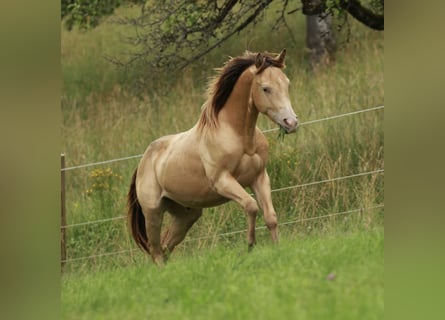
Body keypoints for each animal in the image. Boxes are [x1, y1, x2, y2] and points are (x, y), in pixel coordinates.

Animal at [126, 49, 296, 264]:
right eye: (266, 88)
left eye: (287, 83)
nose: (291, 123)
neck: (239, 136)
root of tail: (143, 162)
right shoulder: (222, 181)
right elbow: (251, 206)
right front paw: (250, 245)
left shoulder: (259, 178)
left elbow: (271, 217)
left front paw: (277, 250)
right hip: (153, 214)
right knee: (155, 250)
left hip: (186, 215)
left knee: (165, 247)